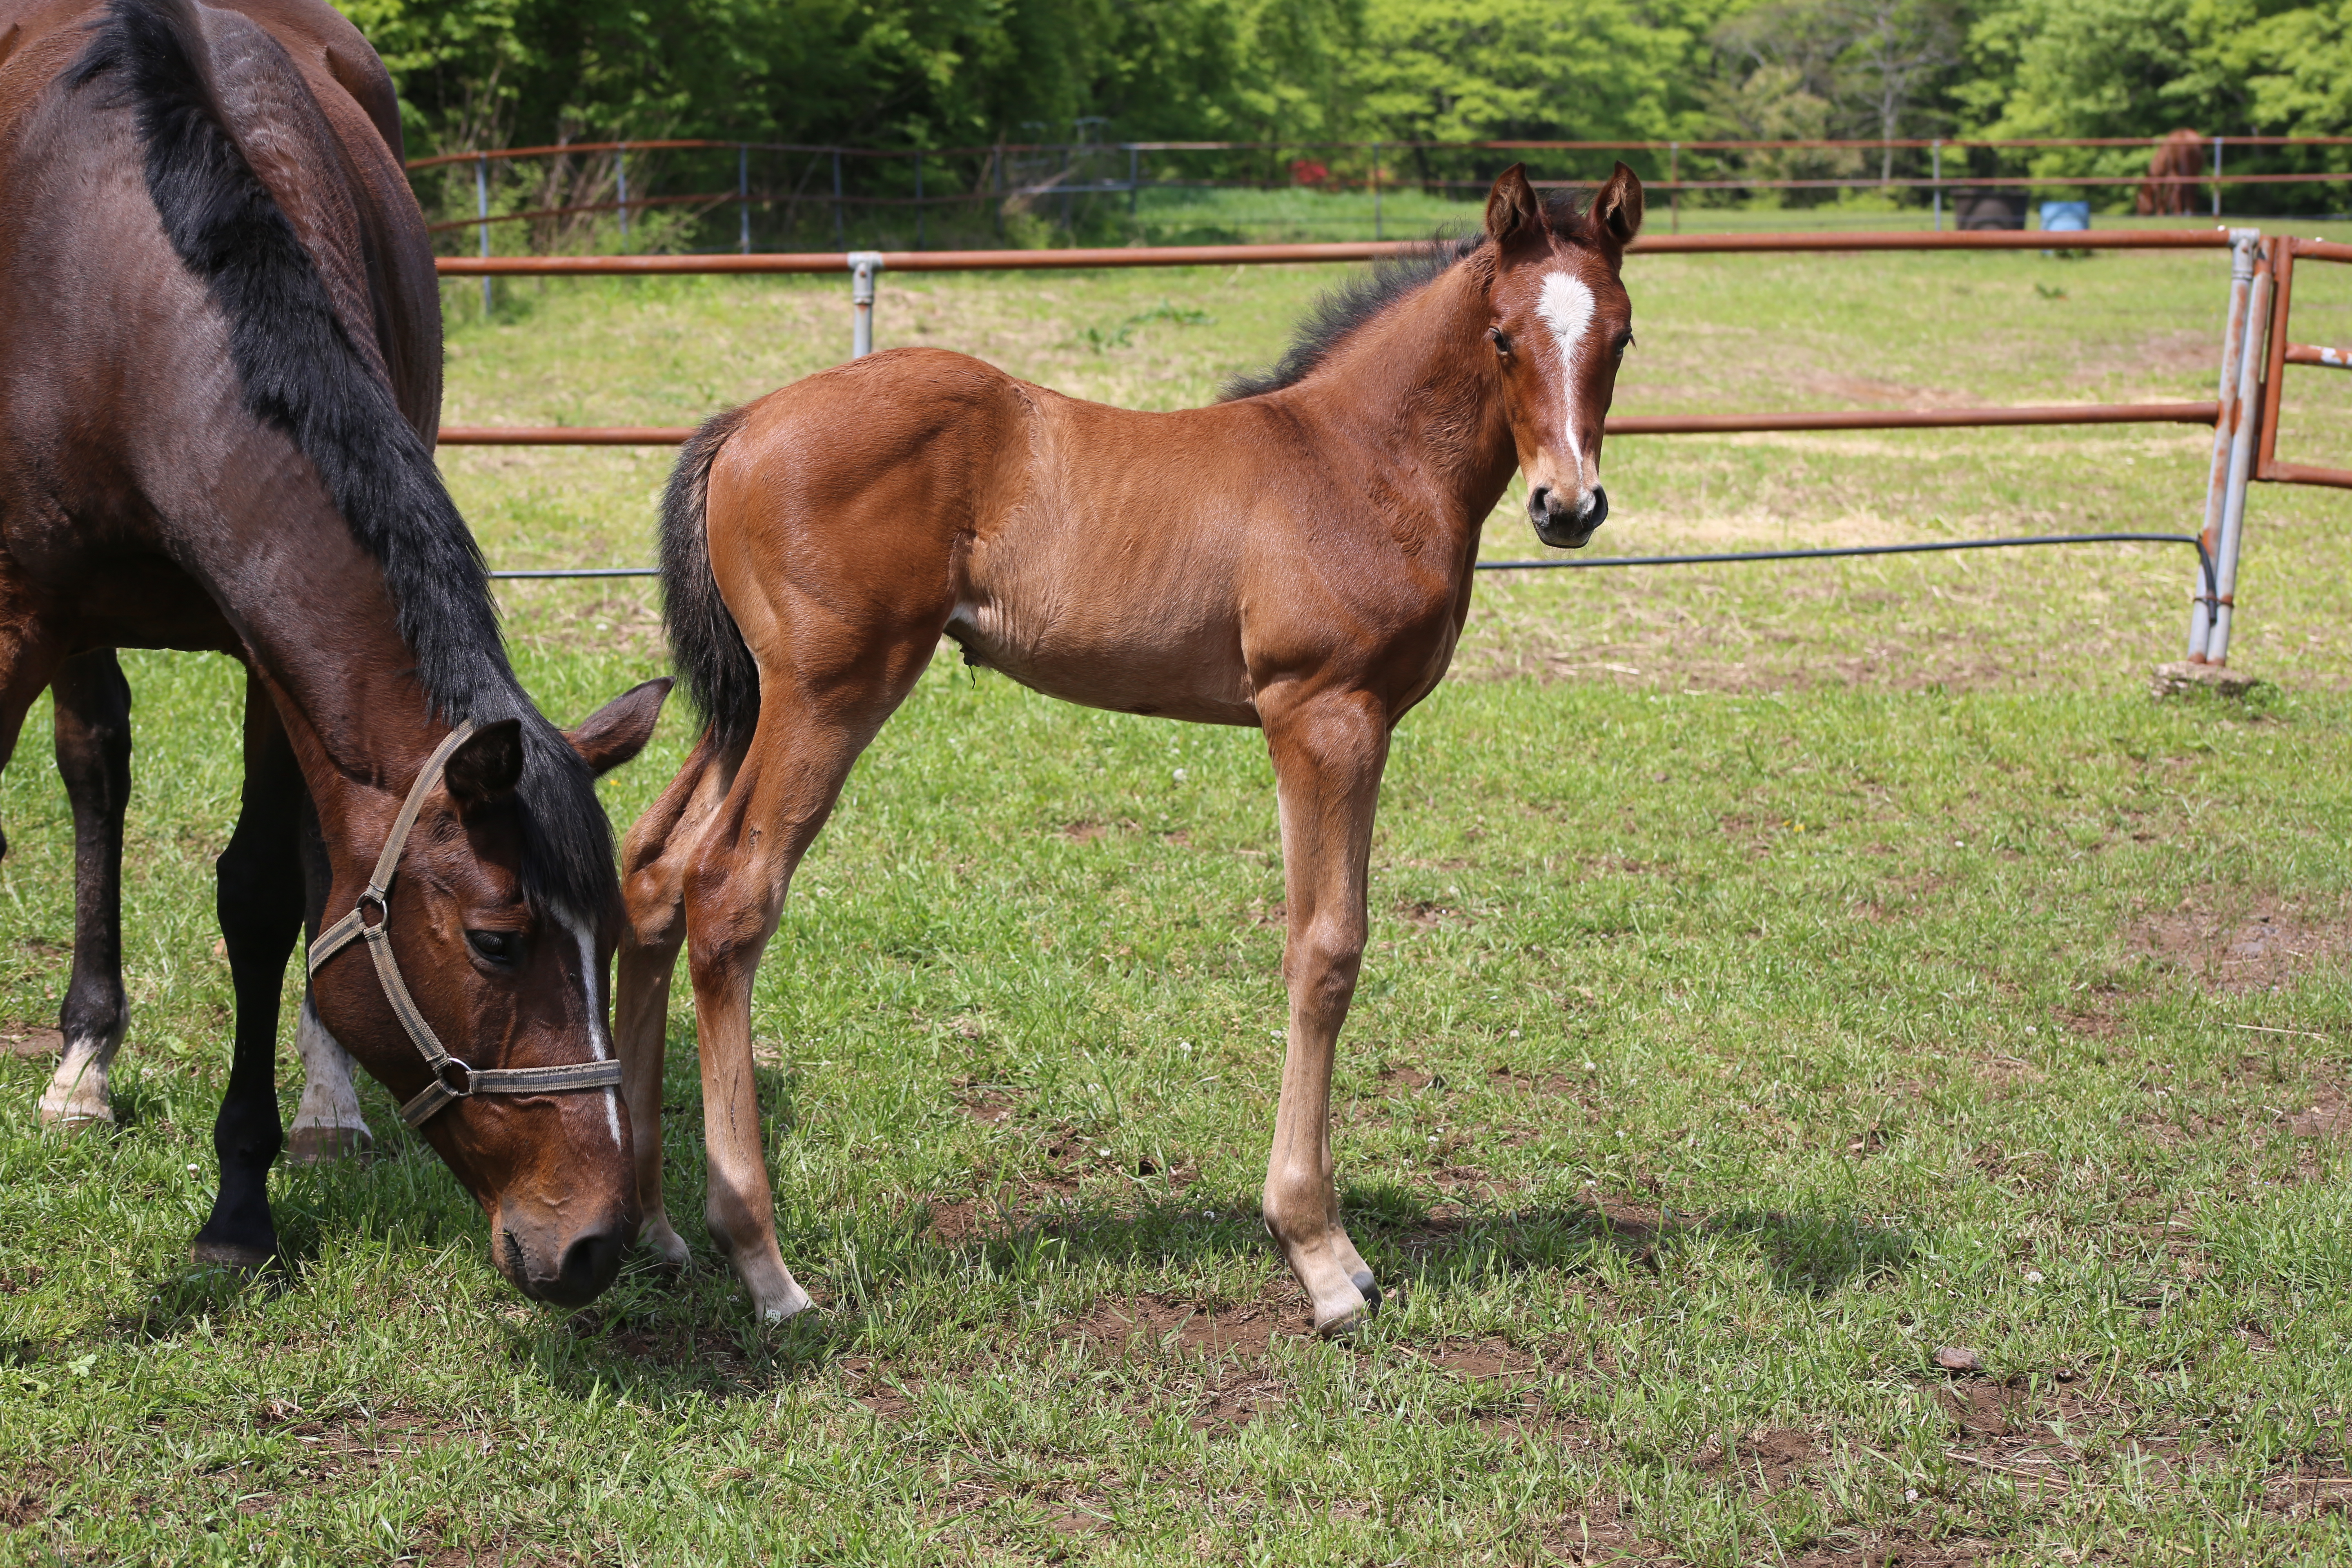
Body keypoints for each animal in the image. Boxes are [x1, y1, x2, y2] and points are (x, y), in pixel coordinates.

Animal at [2, 0, 663, 1307]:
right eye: (497, 941)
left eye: (613, 940)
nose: (595, 1242)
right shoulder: (15, 610)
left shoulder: (273, 655)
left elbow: (265, 892)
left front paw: (242, 1203)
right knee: (96, 762)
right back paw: (84, 1062)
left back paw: (324, 1106)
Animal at [626, 162, 1656, 1335]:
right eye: (1500, 337)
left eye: (1622, 336)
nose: (1567, 505)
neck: (1359, 462)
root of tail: (744, 424)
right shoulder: (1325, 716)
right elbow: (1326, 950)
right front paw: (1322, 1255)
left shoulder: (1341, 726)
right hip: (828, 696)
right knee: (730, 892)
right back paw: (766, 1268)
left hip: (747, 702)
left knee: (655, 871)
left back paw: (654, 1228)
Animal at [2136, 131, 2201, 220]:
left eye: (2139, 205)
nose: (2139, 216)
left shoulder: (2159, 180)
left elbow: (2161, 196)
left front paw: (2161, 213)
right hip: (2194, 169)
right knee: (2192, 186)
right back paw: (2191, 213)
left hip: (2176, 169)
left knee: (2179, 187)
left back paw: (2179, 212)